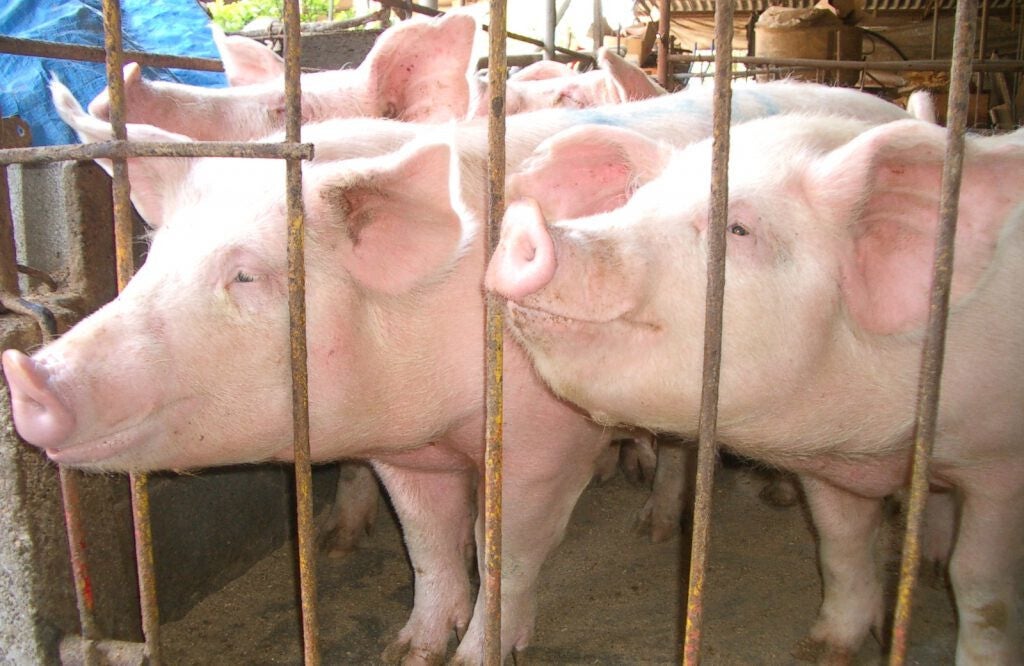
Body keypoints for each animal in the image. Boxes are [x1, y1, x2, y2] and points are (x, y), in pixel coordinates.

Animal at [6, 81, 921, 663]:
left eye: (246, 275)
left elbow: (502, 549)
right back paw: (656, 529)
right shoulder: (402, 450)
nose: (31, 377)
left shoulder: (547, 439)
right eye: (152, 258)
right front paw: (406, 650)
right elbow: (429, 544)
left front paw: (477, 653)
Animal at [485, 117, 1024, 663]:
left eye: (738, 229)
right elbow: (841, 543)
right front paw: (823, 650)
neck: (877, 445)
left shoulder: (1002, 465)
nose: (525, 222)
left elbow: (981, 585)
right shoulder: (827, 466)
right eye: (634, 202)